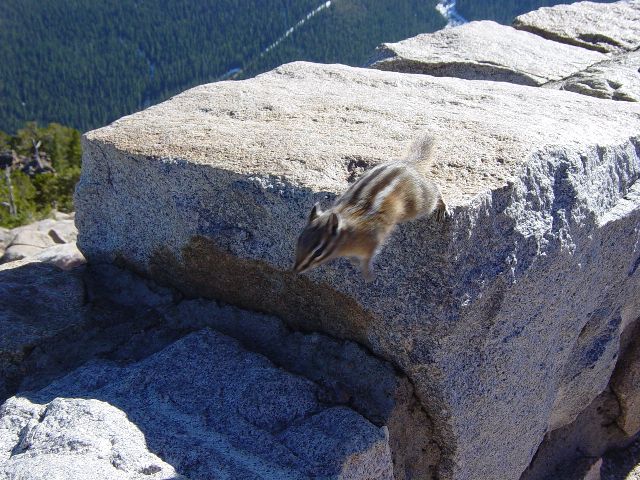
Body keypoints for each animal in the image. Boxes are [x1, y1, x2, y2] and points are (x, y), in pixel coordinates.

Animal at [293, 134, 448, 281]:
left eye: (318, 252)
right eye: (299, 240)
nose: (295, 270)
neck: (348, 233)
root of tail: (408, 164)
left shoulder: (373, 239)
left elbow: (369, 257)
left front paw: (367, 274)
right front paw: (354, 261)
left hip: (418, 204)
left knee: (433, 190)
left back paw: (442, 205)